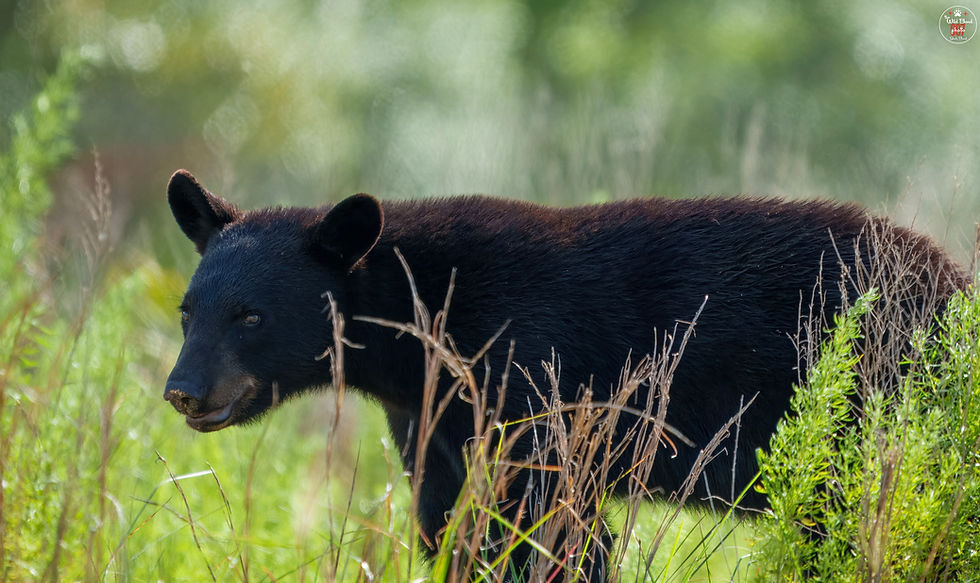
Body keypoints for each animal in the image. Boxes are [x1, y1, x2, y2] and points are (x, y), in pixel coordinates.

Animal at [163, 169, 966, 581]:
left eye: (251, 316)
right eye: (187, 309)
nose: (183, 391)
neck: (424, 330)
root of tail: (953, 280)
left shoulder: (534, 380)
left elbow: (550, 523)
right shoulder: (434, 418)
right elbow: (453, 522)